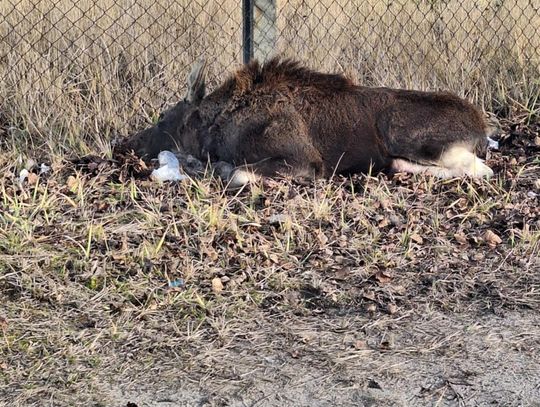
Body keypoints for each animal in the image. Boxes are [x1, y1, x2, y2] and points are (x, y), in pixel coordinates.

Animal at [121, 56, 494, 187]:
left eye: (162, 119)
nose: (124, 142)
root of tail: (482, 129)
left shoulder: (305, 162)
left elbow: (236, 172)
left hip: (403, 132)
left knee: (480, 169)